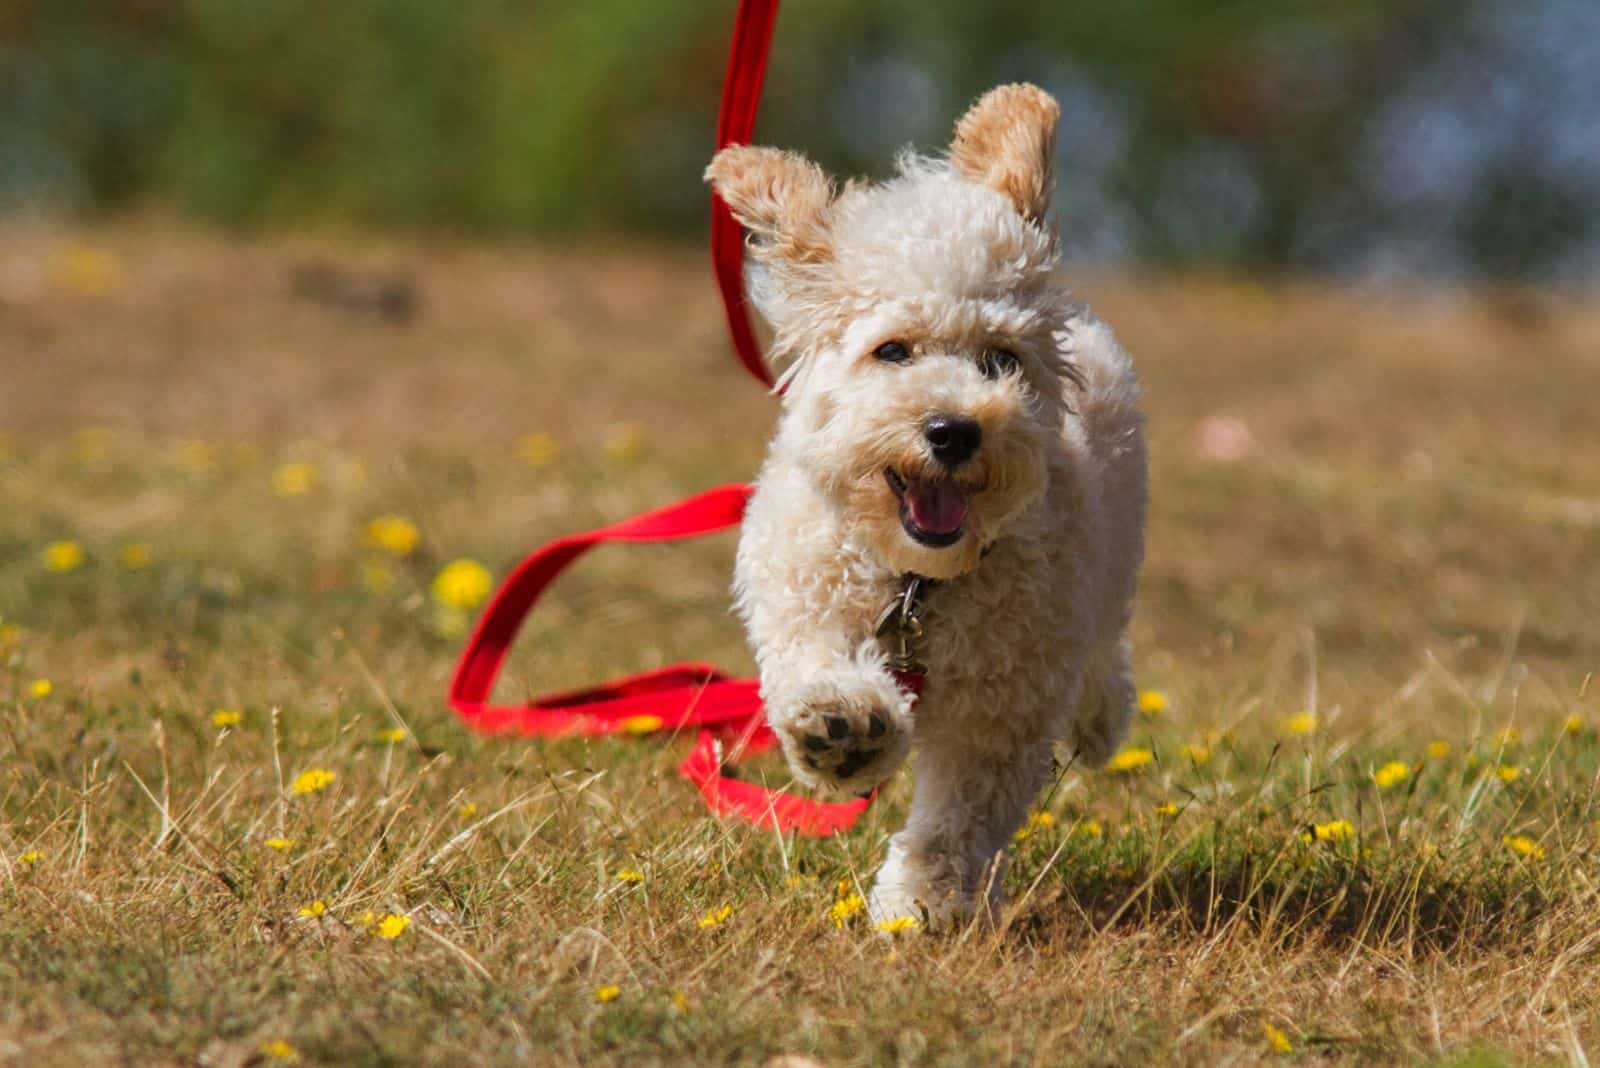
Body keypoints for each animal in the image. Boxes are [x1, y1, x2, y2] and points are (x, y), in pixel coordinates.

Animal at [707, 83, 1145, 927]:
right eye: (893, 351)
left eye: (1000, 360)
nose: (953, 430)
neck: (917, 582)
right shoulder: (802, 593)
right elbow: (815, 668)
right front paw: (841, 729)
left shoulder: (1003, 709)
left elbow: (959, 818)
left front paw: (921, 904)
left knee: (1103, 652)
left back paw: (1099, 717)